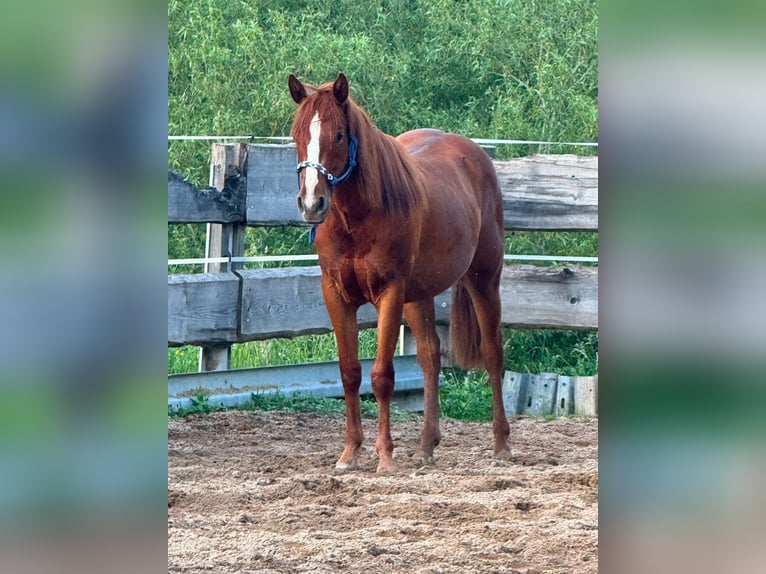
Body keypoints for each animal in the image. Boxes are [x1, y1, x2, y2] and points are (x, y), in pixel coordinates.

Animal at [288, 73, 510, 473]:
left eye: (338, 135)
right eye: (297, 135)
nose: (312, 203)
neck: (358, 219)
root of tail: (472, 153)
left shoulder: (389, 293)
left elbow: (382, 376)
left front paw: (385, 457)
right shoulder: (336, 295)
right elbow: (349, 372)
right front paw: (349, 453)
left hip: (483, 279)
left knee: (492, 353)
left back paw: (501, 444)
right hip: (419, 294)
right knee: (429, 356)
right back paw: (425, 446)